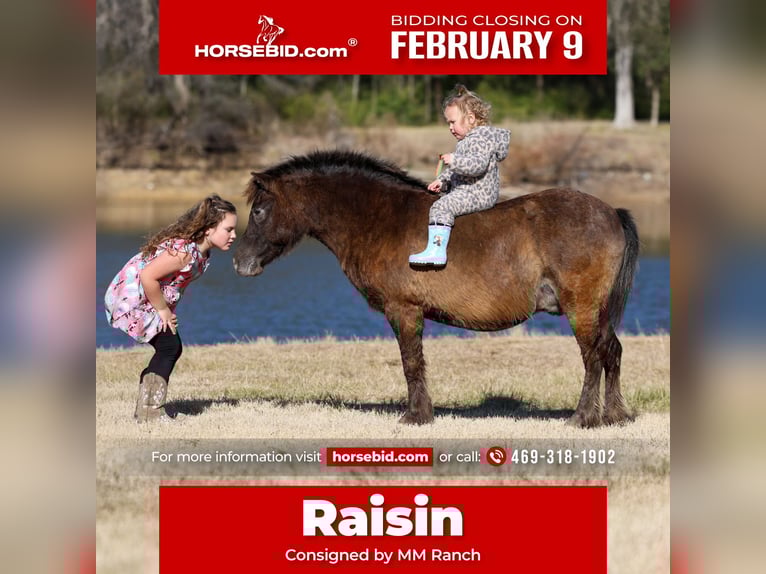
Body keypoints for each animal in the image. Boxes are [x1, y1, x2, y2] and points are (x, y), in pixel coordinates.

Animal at [233, 150, 639, 428]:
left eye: (258, 212)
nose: (239, 262)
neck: (379, 218)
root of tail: (610, 212)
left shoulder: (403, 309)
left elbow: (411, 362)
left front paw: (416, 415)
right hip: (598, 311)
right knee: (612, 352)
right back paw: (615, 415)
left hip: (581, 308)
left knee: (592, 357)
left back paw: (584, 417)